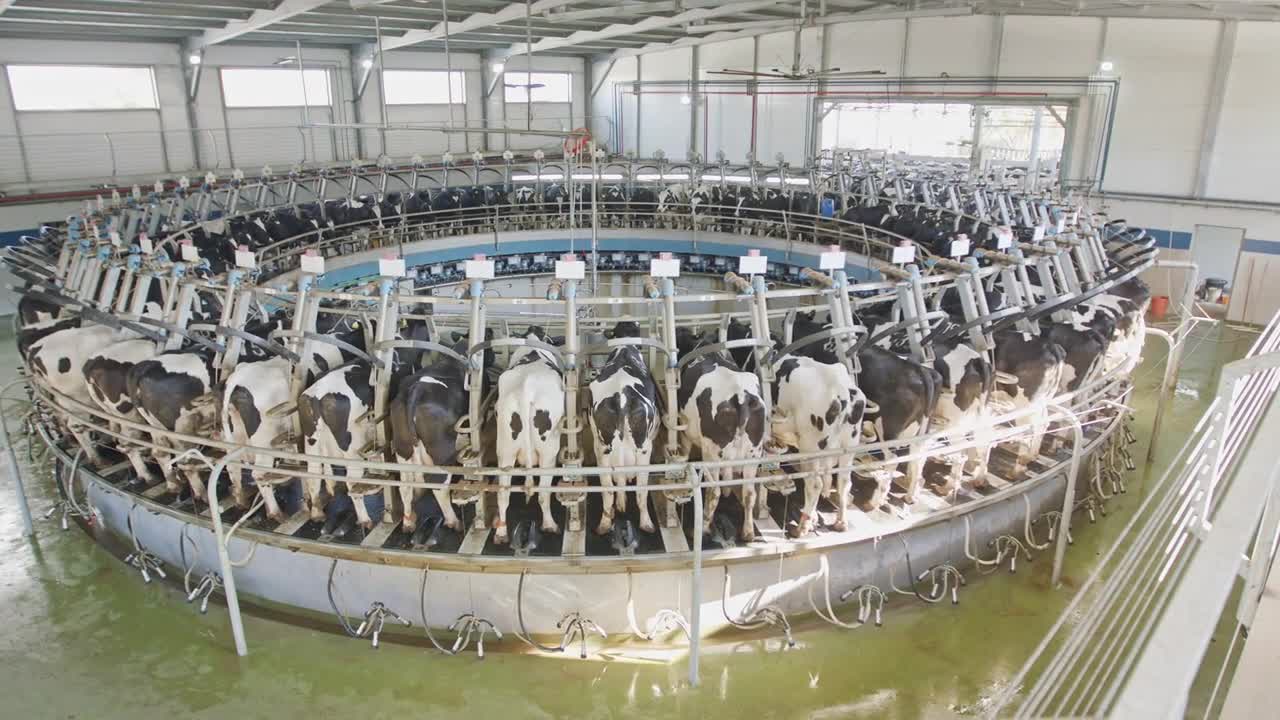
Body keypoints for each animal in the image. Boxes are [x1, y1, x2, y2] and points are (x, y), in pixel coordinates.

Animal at [494, 324, 565, 538]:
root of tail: (526, 390)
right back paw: (550, 525)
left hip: (505, 451)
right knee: (543, 492)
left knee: (503, 493)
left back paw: (501, 532)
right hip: (549, 452)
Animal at [586, 319, 655, 532]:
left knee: (608, 488)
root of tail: (621, 396)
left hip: (601, 449)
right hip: (644, 448)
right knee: (641, 489)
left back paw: (606, 522)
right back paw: (645, 522)